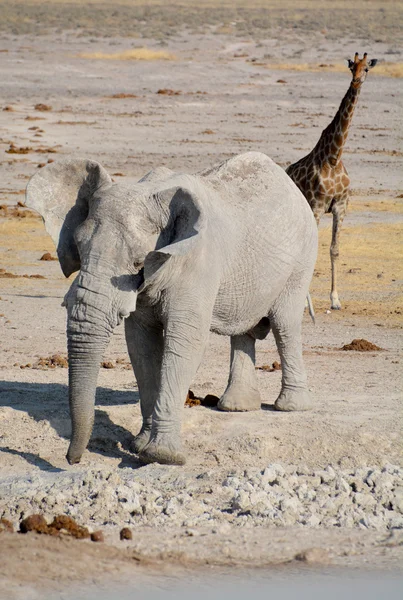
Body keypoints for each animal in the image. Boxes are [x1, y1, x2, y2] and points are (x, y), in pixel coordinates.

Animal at [26, 152, 318, 466]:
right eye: (79, 249)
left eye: (139, 262)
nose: (72, 459)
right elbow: (141, 343)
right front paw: (139, 444)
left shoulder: (197, 261)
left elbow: (185, 341)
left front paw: (162, 456)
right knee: (244, 331)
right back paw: (236, 408)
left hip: (302, 258)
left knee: (285, 324)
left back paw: (290, 407)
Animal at [288, 51, 378, 310]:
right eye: (351, 67)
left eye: (366, 68)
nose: (356, 81)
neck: (333, 157)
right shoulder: (317, 206)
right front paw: (305, 303)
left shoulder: (340, 206)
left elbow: (334, 249)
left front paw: (335, 299)